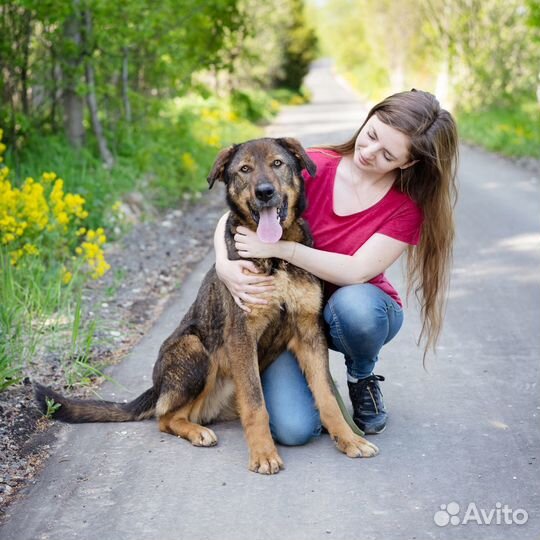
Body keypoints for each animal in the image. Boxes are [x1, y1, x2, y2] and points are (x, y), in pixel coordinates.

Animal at [34, 137, 380, 474]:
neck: (275, 255)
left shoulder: (309, 333)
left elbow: (327, 397)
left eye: (277, 163)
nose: (264, 192)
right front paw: (263, 454)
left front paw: (348, 439)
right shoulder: (242, 336)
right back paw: (197, 432)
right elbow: (256, 404)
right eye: (244, 169)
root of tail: (158, 386)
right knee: (165, 417)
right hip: (195, 350)